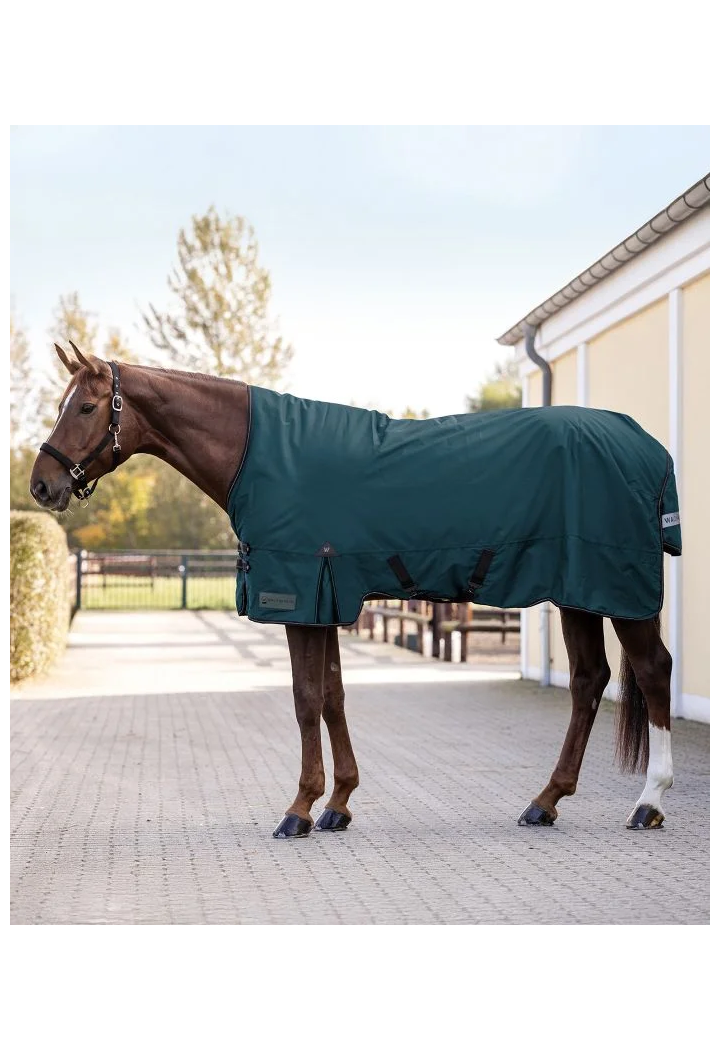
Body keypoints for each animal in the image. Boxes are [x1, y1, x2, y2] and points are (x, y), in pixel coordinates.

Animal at [30, 343, 677, 838]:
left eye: (85, 406)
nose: (42, 485)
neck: (258, 454)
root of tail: (645, 445)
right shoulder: (329, 599)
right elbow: (334, 697)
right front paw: (337, 804)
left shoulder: (299, 599)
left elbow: (305, 699)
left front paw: (298, 809)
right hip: (580, 593)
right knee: (588, 681)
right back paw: (545, 802)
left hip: (619, 591)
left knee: (653, 671)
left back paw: (648, 802)